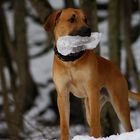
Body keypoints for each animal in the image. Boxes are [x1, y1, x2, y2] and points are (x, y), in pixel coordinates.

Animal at [44, 7, 140, 140]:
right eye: (72, 19)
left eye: (85, 19)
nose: (88, 30)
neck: (71, 60)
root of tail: (116, 69)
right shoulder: (62, 94)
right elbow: (64, 124)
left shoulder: (92, 90)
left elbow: (95, 122)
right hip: (90, 104)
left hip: (119, 103)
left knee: (126, 126)